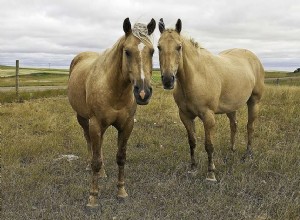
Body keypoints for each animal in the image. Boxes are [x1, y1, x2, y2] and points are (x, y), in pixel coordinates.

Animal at [68, 17, 157, 206]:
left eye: (153, 51)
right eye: (127, 51)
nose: (143, 93)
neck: (114, 89)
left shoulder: (127, 125)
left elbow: (121, 157)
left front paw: (121, 192)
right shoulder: (95, 123)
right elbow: (96, 160)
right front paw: (93, 197)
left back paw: (102, 173)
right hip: (84, 119)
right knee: (90, 143)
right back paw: (90, 167)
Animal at [158, 18, 264, 180]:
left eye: (179, 47)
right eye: (158, 47)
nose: (168, 80)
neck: (197, 77)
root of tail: (254, 59)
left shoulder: (208, 117)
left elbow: (209, 145)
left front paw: (211, 173)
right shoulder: (185, 116)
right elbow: (192, 142)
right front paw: (193, 167)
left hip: (254, 102)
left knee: (250, 127)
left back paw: (248, 155)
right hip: (231, 107)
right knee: (234, 125)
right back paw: (232, 150)